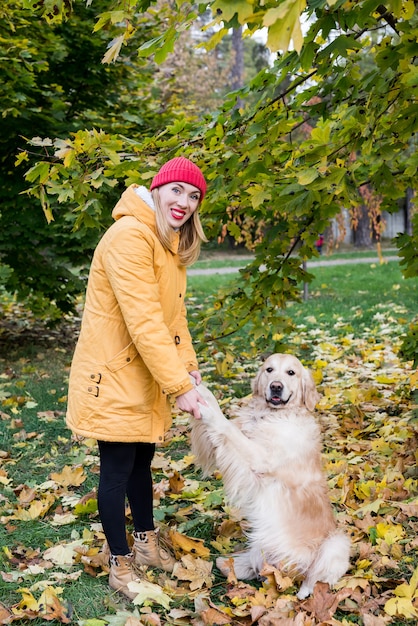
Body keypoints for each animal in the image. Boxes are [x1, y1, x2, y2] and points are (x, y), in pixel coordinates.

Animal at [191, 348, 352, 596]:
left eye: (291, 373)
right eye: (269, 369)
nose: (276, 386)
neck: (272, 414)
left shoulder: (260, 458)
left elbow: (224, 425)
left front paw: (208, 411)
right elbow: (218, 415)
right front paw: (197, 387)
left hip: (337, 543)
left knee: (315, 578)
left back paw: (303, 590)